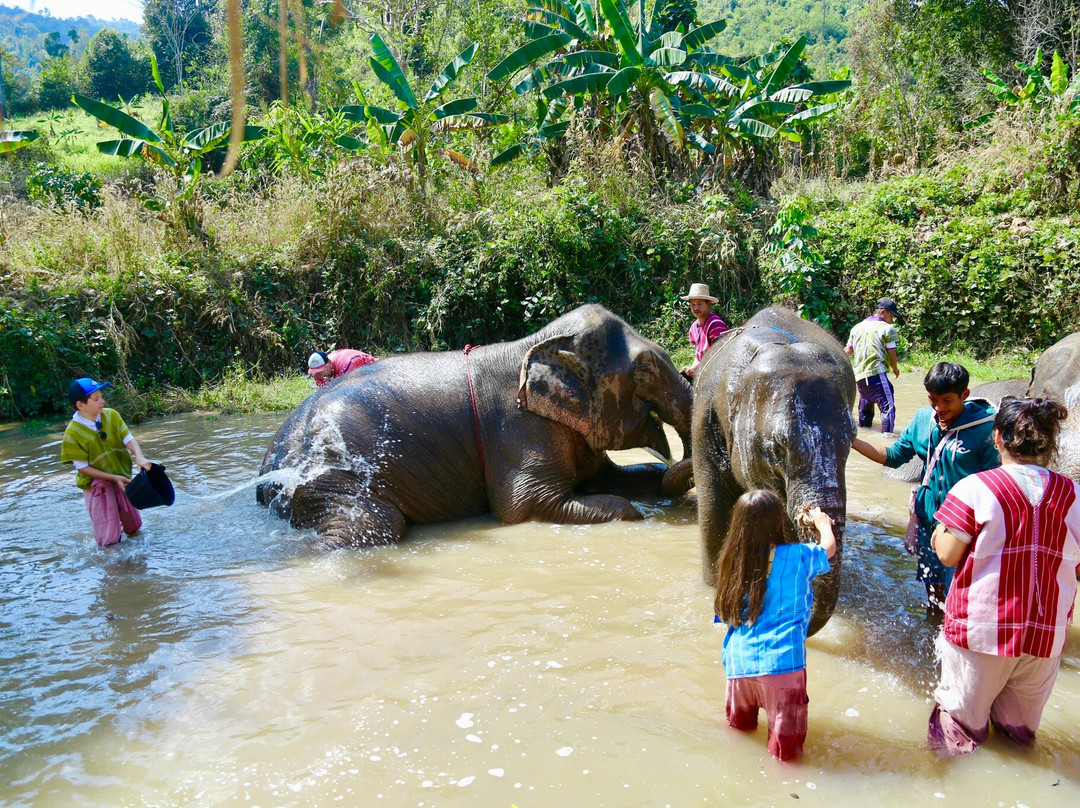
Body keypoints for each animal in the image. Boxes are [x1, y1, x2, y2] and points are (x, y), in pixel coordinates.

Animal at [256, 305, 694, 547]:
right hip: (327, 476)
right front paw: (641, 514)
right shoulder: (519, 429)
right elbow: (523, 504)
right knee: (375, 526)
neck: (534, 344)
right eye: (644, 370)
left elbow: (621, 477)